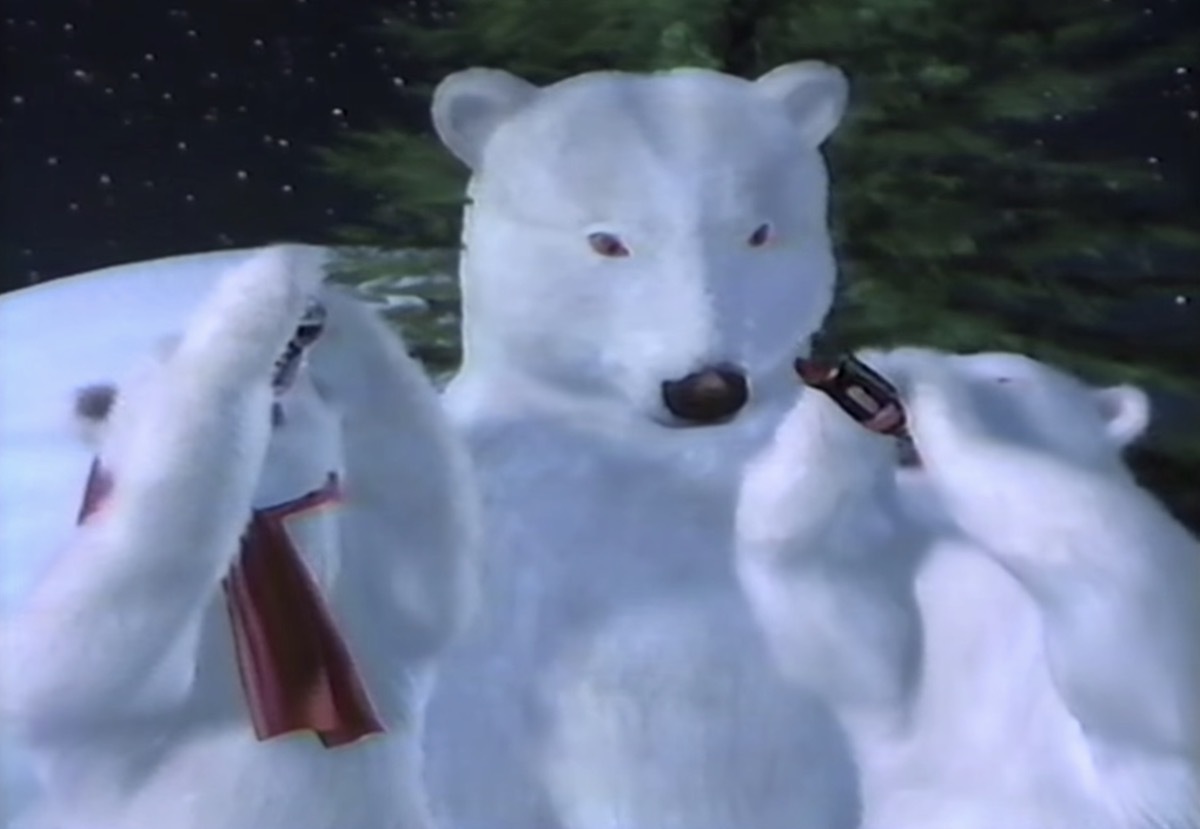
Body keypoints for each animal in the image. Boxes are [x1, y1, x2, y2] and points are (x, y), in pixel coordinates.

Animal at [0, 245, 481, 829]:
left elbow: (426, 552)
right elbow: (98, 624)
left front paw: (330, 299)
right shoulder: (117, 724)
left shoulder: (370, 628)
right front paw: (263, 285)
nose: (295, 351)